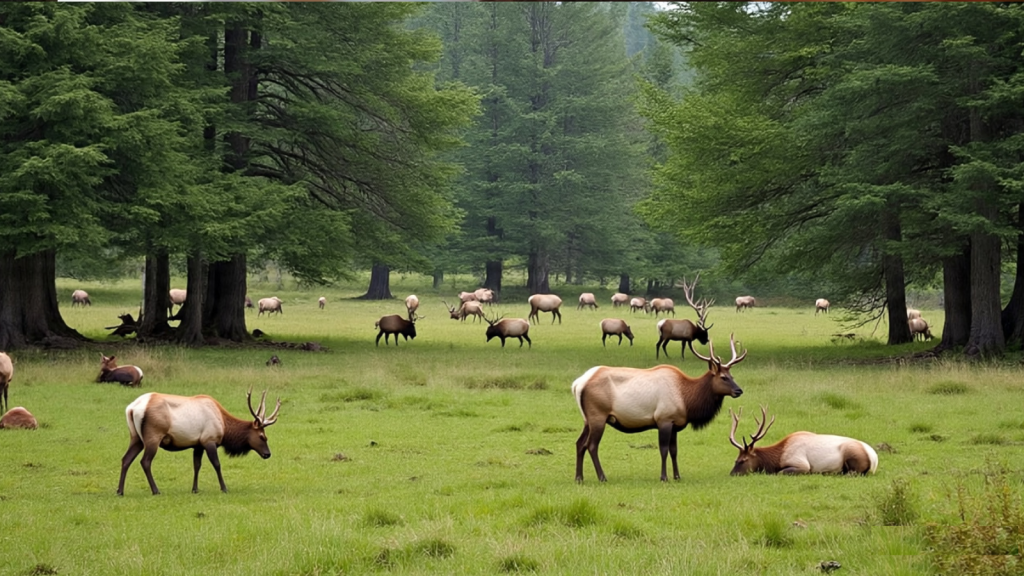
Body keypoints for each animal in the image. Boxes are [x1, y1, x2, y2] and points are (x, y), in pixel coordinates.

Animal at [116, 388, 280, 495]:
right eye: (262, 436)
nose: (267, 454)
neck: (224, 426)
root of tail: (131, 408)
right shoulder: (209, 440)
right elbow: (217, 464)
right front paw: (224, 488)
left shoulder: (198, 445)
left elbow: (197, 465)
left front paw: (195, 489)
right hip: (153, 436)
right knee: (145, 461)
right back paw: (155, 490)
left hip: (136, 437)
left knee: (126, 459)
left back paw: (120, 490)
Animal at [573, 333, 746, 483]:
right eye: (723, 378)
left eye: (732, 376)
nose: (739, 391)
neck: (686, 400)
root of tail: (577, 384)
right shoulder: (664, 419)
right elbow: (663, 450)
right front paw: (664, 477)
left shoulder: (675, 424)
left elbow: (674, 451)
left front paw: (677, 476)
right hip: (598, 416)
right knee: (591, 445)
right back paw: (602, 477)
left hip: (587, 419)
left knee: (579, 443)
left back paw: (579, 478)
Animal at [728, 406, 878, 475]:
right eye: (735, 460)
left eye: (743, 460)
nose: (732, 474)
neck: (779, 456)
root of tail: (874, 459)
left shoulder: (802, 465)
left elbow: (780, 472)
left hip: (852, 456)